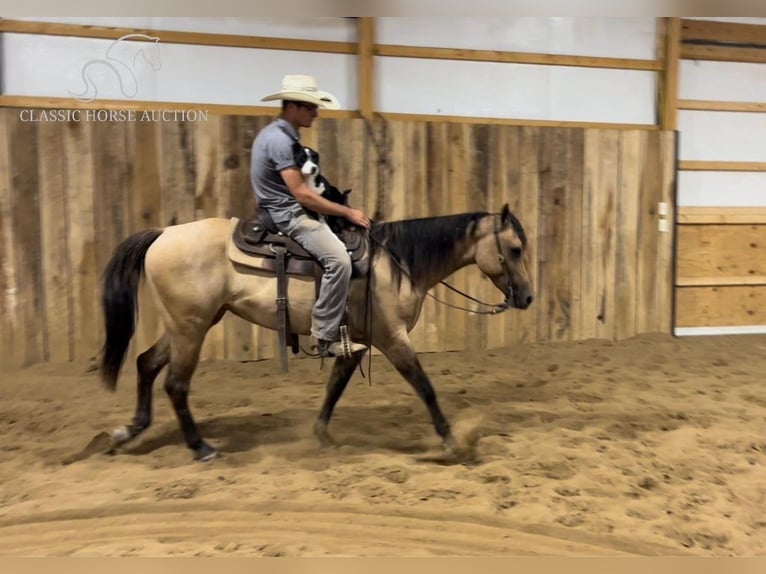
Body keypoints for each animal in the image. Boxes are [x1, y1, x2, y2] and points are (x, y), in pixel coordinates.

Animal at [97, 204, 536, 464]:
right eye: (514, 249)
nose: (528, 297)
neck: (396, 263)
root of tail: (163, 233)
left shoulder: (355, 343)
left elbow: (334, 387)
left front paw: (321, 437)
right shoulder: (392, 338)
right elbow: (424, 386)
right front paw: (452, 443)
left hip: (188, 323)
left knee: (146, 364)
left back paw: (126, 432)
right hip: (192, 326)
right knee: (175, 383)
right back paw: (200, 447)